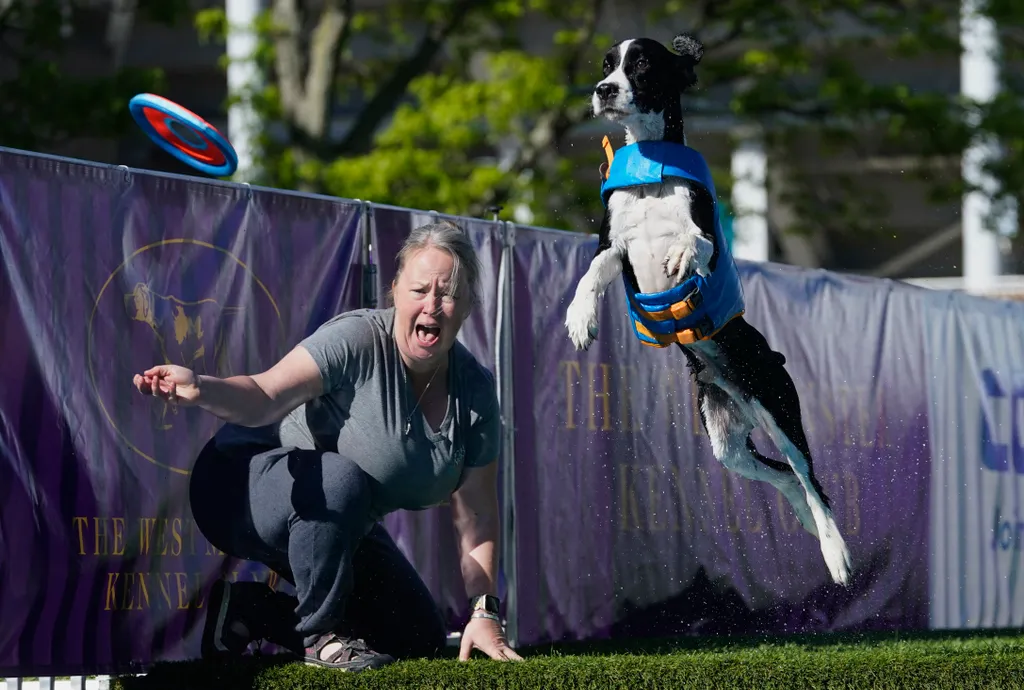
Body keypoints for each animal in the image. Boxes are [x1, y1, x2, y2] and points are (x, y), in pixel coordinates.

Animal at [565, 34, 851, 585]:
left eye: (642, 63)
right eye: (606, 65)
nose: (604, 90)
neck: (650, 171)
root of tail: (740, 388)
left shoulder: (710, 237)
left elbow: (697, 244)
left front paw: (680, 256)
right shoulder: (614, 247)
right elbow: (591, 272)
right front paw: (579, 318)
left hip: (779, 407)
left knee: (811, 479)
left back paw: (836, 553)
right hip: (726, 443)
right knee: (783, 477)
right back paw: (806, 519)